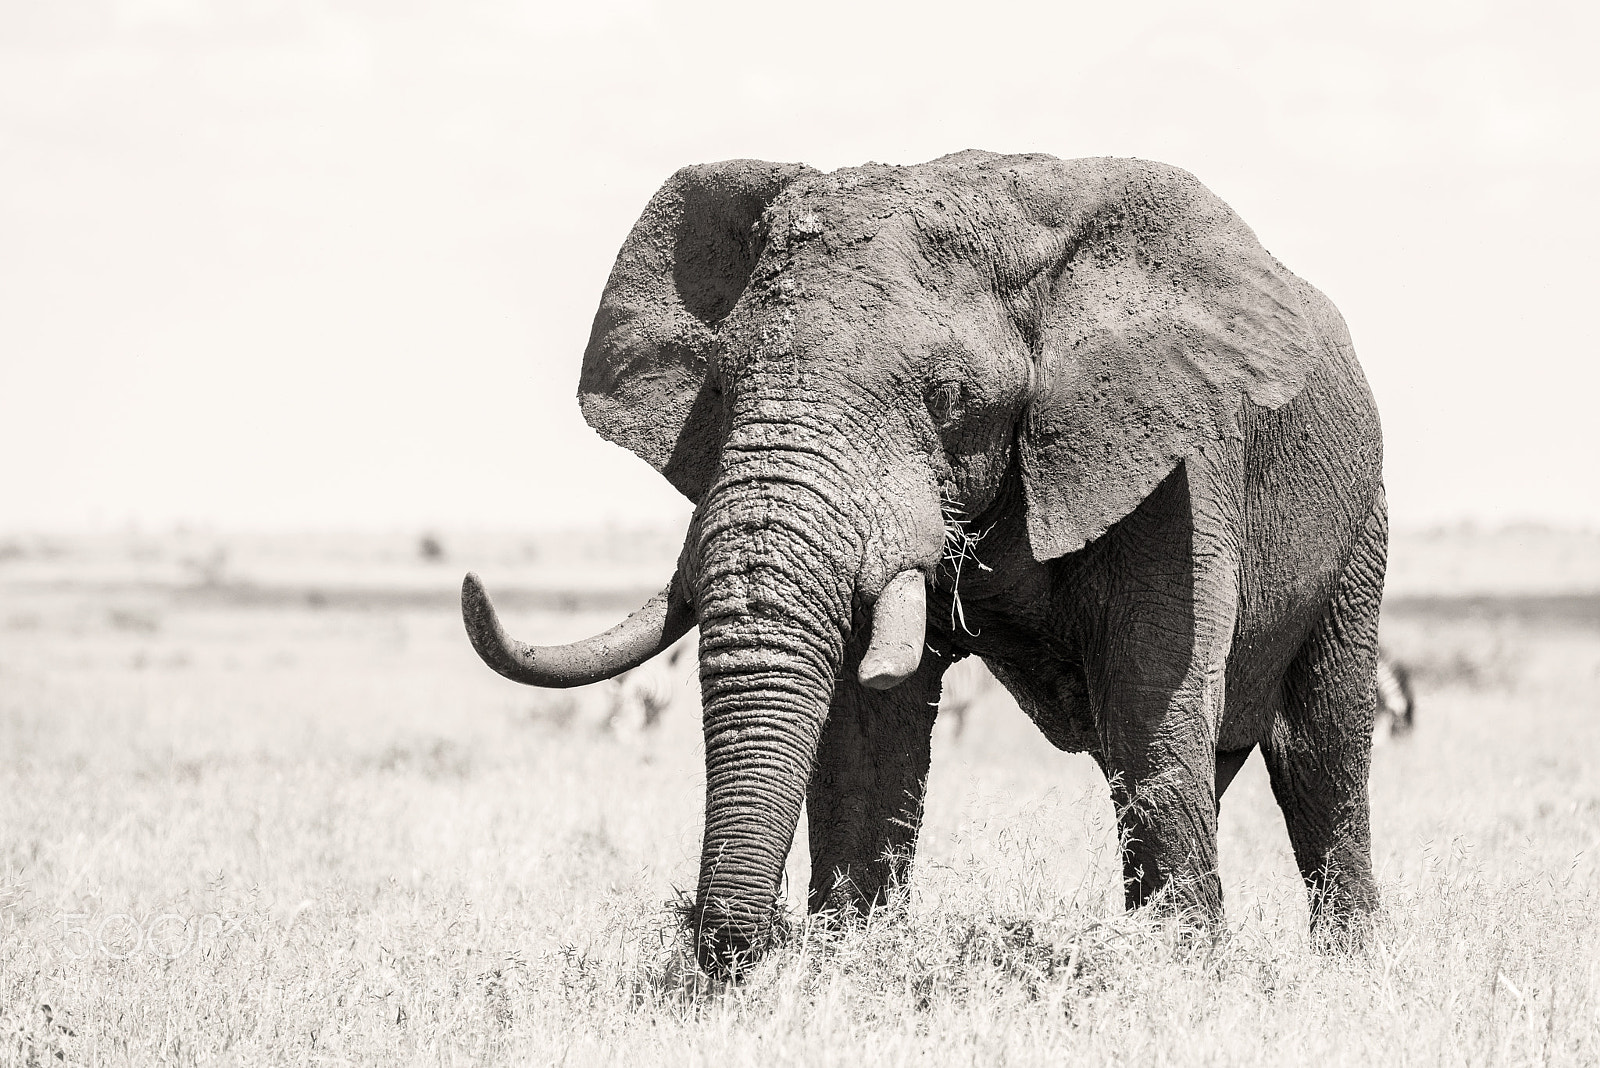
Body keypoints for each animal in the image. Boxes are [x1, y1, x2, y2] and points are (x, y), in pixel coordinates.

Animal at [461, 151, 1387, 976]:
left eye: (948, 398)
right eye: (721, 388)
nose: (731, 947)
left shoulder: (1175, 455)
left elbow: (1148, 699)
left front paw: (1176, 972)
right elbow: (868, 724)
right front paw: (852, 960)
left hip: (1362, 515)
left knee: (1319, 748)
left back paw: (1347, 969)